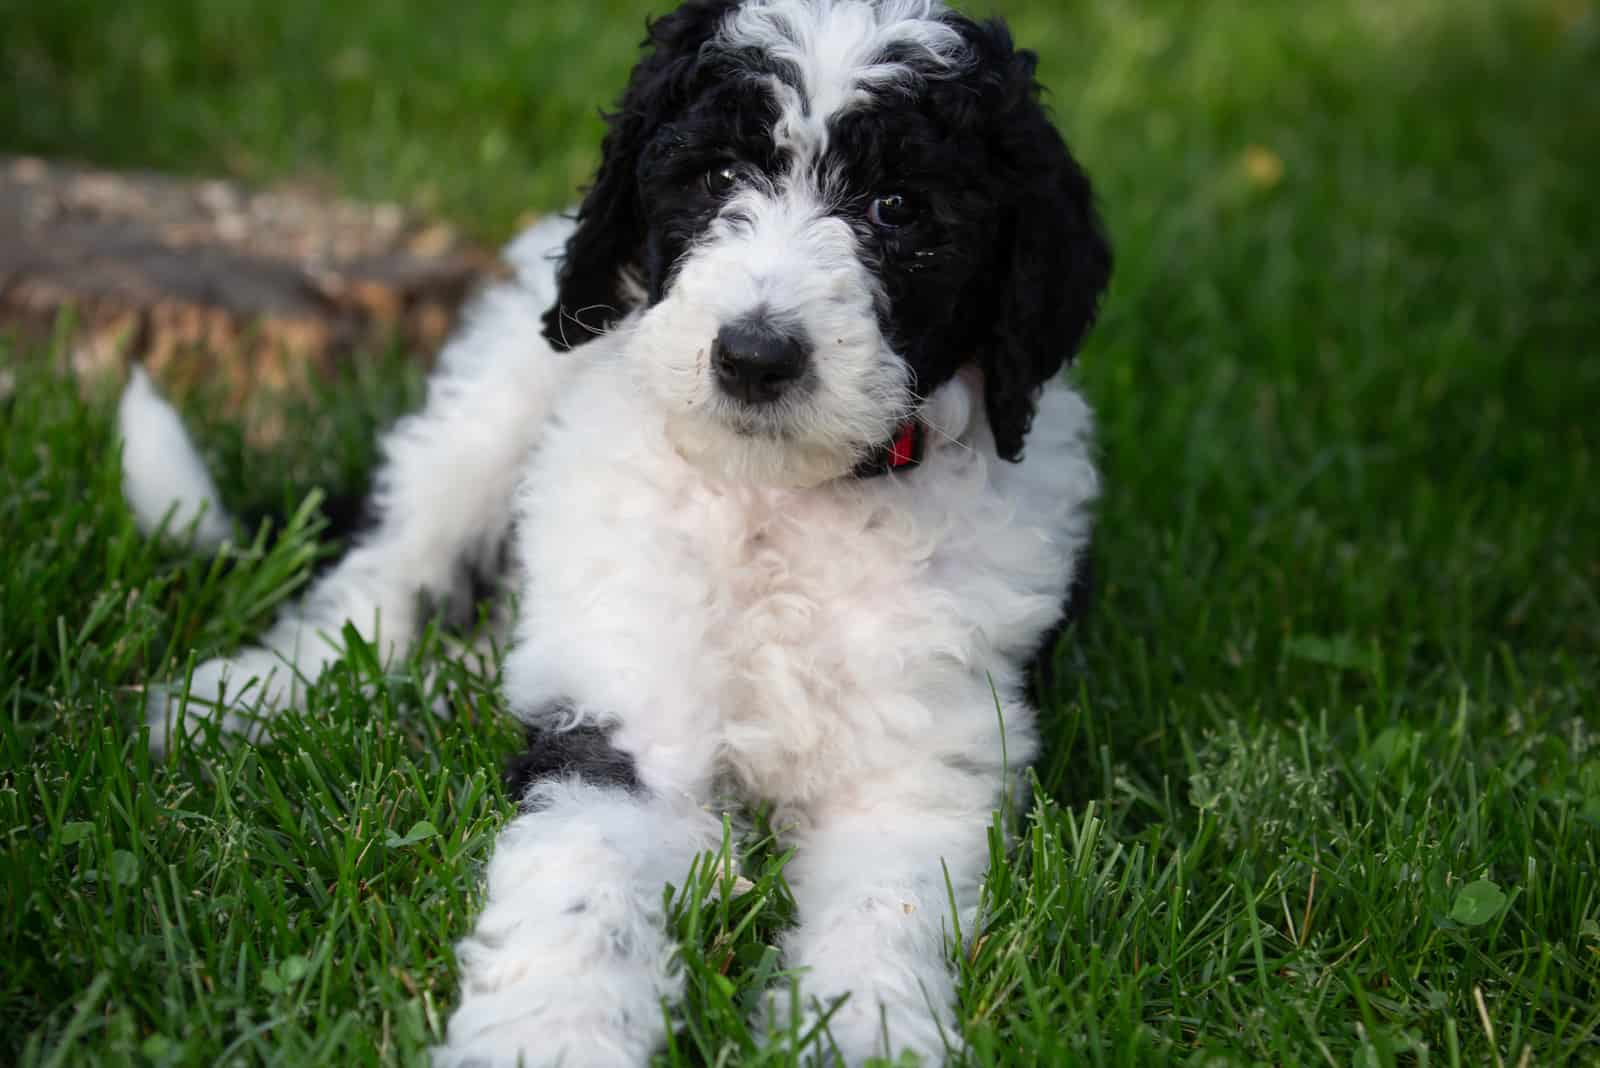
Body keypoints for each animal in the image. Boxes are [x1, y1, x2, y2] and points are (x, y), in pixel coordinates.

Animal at [118, 2, 1113, 1061]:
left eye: (896, 208)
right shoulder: (624, 719)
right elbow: (579, 884)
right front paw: (551, 1033)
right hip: (495, 397)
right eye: (718, 177)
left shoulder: (919, 768)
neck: (779, 501)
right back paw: (239, 698)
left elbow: (885, 914)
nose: (754, 357)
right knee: (383, 579)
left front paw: (863, 1033)